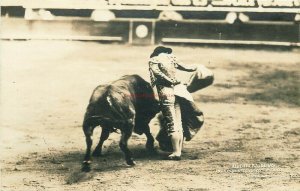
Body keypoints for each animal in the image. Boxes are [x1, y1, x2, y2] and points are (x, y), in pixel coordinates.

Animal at [82, 74, 213, 171]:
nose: (156, 106)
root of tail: (107, 96)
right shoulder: (138, 120)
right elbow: (147, 130)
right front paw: (150, 145)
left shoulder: (107, 125)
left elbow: (103, 136)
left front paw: (97, 151)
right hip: (128, 123)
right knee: (123, 143)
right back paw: (131, 161)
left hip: (88, 123)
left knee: (89, 140)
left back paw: (87, 162)